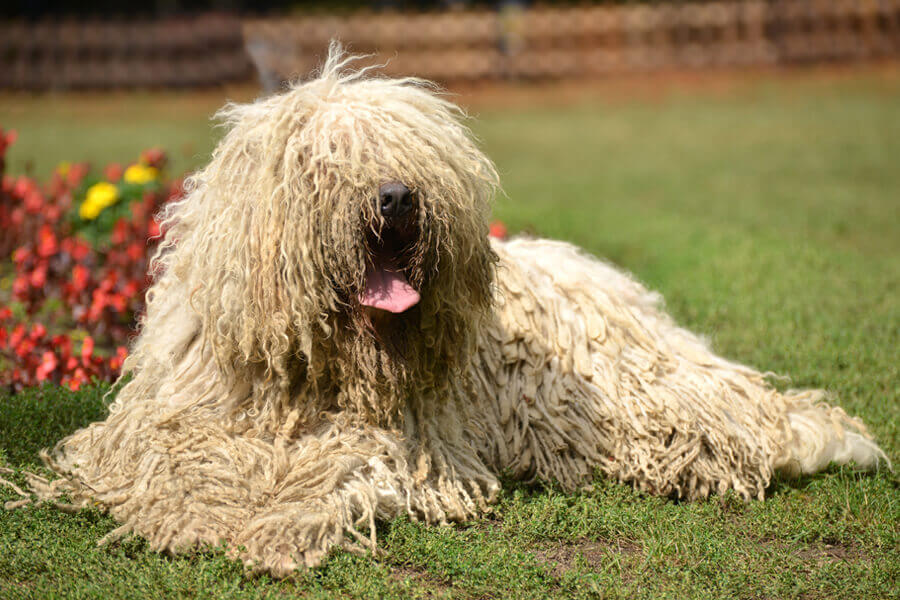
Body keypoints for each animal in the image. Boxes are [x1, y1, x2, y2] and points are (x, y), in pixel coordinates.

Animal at [26, 45, 884, 572]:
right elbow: (167, 457)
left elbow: (329, 474)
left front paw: (271, 521)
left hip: (649, 400)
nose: (398, 196)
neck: (317, 372)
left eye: (416, 159)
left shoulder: (390, 440)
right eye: (323, 163)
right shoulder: (171, 417)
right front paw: (196, 506)